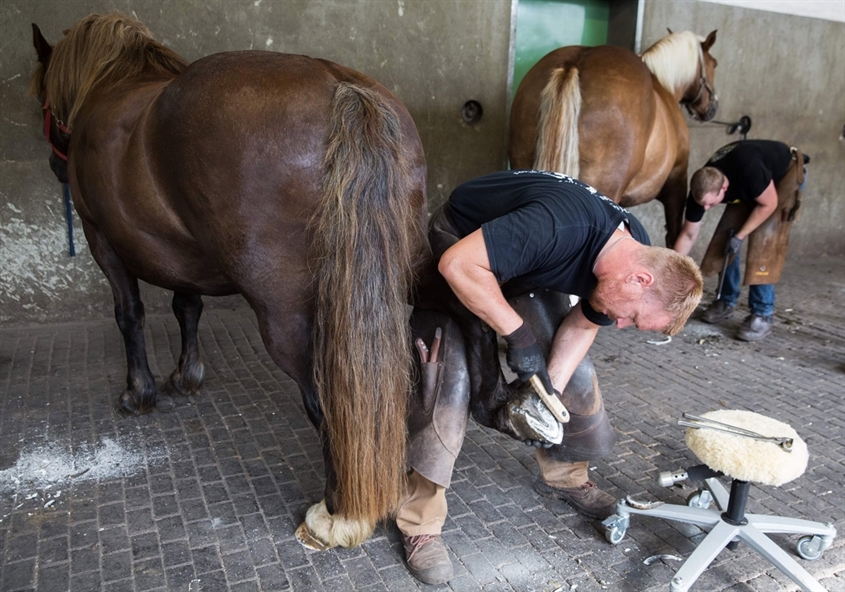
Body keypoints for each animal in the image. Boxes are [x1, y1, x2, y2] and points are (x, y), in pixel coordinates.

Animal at [31, 12, 428, 552]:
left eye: (43, 100)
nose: (56, 166)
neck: (112, 85)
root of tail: (339, 88)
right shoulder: (181, 255)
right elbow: (187, 307)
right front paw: (186, 376)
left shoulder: (102, 242)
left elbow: (129, 314)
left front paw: (139, 393)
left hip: (292, 321)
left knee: (331, 405)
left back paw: (338, 516)